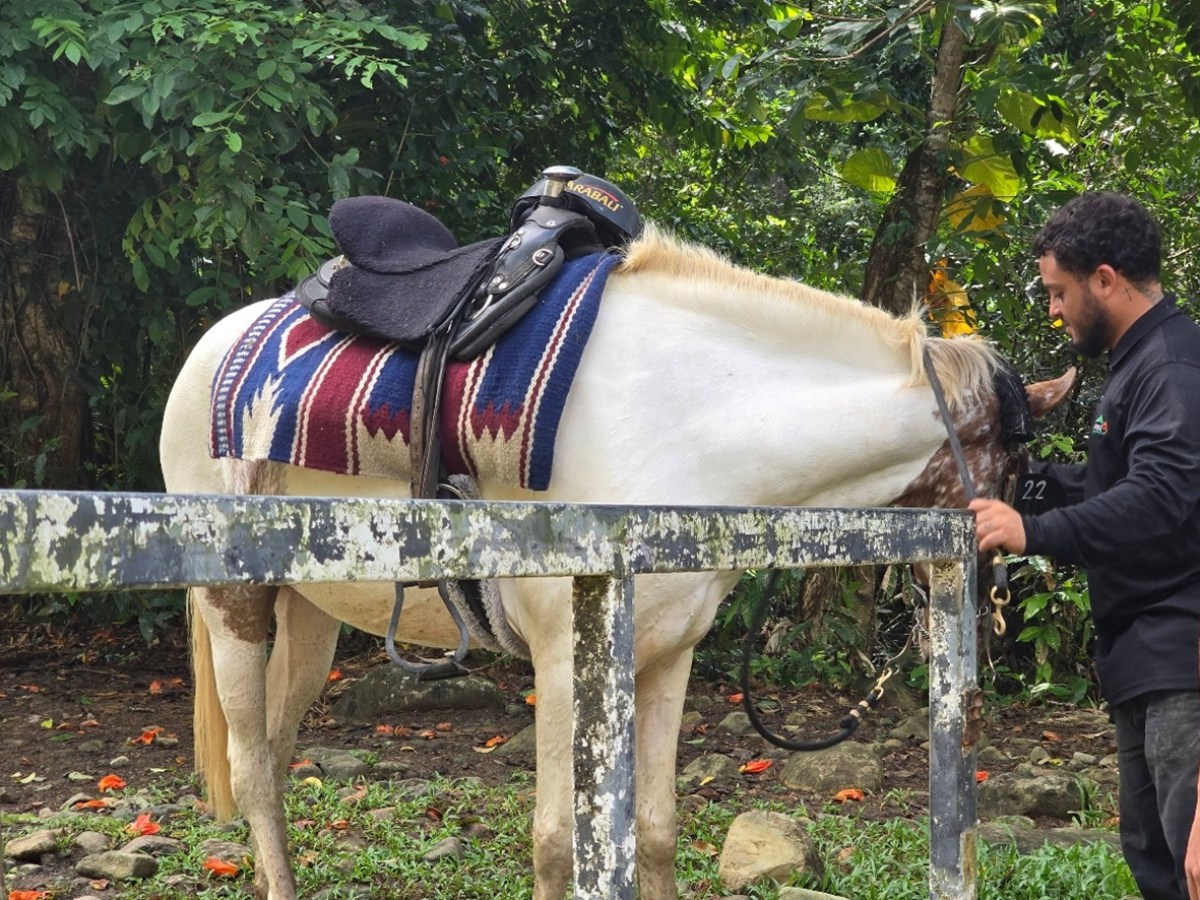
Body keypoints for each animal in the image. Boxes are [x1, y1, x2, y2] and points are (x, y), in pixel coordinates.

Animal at [160, 222, 1073, 900]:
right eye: (1021, 468)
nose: (989, 604)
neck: (689, 422)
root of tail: (211, 348)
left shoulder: (666, 658)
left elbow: (656, 832)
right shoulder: (566, 662)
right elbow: (558, 844)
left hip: (309, 609)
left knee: (275, 755)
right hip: (232, 605)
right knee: (251, 769)